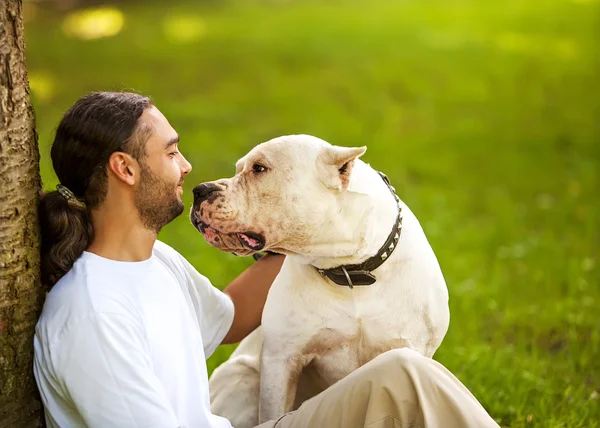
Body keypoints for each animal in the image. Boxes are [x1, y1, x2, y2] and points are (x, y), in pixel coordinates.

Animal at [190, 135, 448, 426]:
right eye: (239, 168)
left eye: (259, 168)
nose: (200, 190)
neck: (350, 270)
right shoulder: (281, 361)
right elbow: (273, 413)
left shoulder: (412, 350)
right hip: (244, 379)